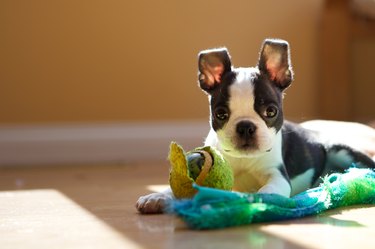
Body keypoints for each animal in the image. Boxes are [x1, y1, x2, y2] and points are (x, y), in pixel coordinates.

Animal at [137, 39, 375, 214]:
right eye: (220, 114)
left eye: (271, 111)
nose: (245, 127)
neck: (244, 160)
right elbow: (176, 185)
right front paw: (157, 195)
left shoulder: (277, 175)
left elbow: (270, 188)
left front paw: (261, 198)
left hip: (341, 151)